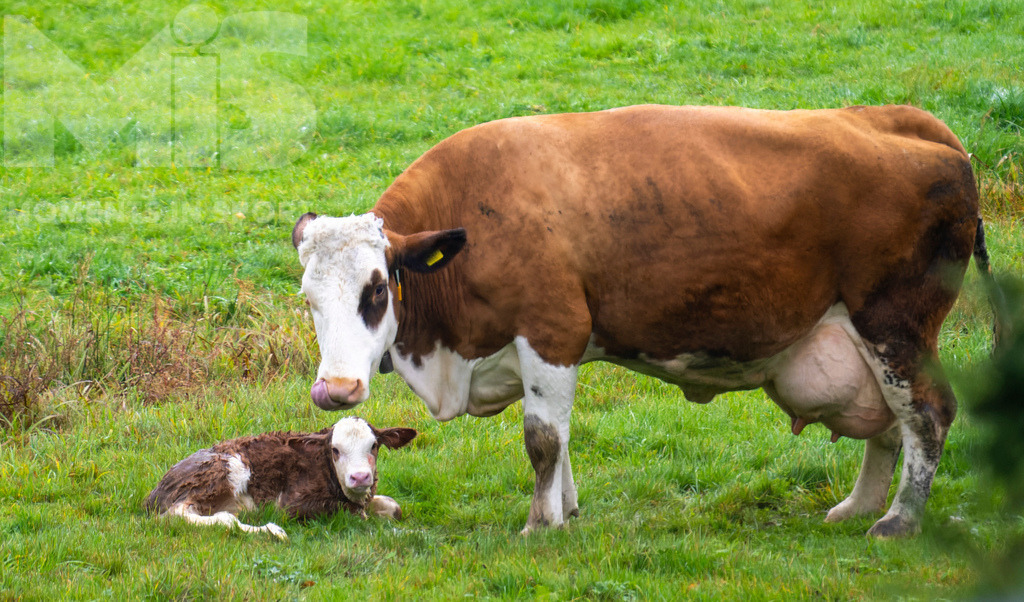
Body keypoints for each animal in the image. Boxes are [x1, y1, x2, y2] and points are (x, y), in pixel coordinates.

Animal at [145, 417, 417, 540]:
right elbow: (357, 515)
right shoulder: (292, 505)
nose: (360, 477)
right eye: (335, 450)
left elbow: (394, 506)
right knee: (181, 515)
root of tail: (154, 494)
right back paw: (271, 530)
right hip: (224, 469)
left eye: (374, 446)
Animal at [291, 104, 995, 537]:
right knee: (891, 426)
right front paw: (566, 509)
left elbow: (542, 439)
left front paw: (539, 524)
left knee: (926, 414)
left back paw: (899, 520)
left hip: (896, 326)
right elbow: (561, 436)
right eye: (308, 298)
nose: (336, 390)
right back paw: (858, 506)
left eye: (376, 290)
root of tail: (908, 122)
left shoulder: (552, 331)